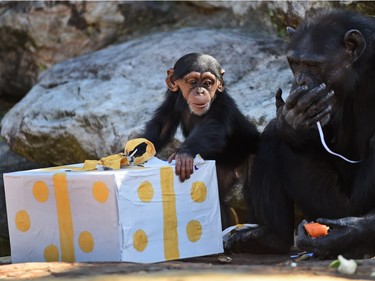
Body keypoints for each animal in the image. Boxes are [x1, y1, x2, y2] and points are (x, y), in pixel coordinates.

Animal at [137, 52, 258, 228]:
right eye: (193, 82)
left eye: (208, 83)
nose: (200, 91)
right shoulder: (172, 98)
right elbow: (162, 127)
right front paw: (135, 152)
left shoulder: (220, 105)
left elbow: (211, 128)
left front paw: (183, 155)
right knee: (219, 198)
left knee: (252, 190)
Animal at [225, 9, 375, 258]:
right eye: (294, 63)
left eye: (313, 65)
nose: (300, 80)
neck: (360, 70)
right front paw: (293, 122)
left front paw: (347, 232)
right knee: (272, 134)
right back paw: (268, 238)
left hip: (336, 205)